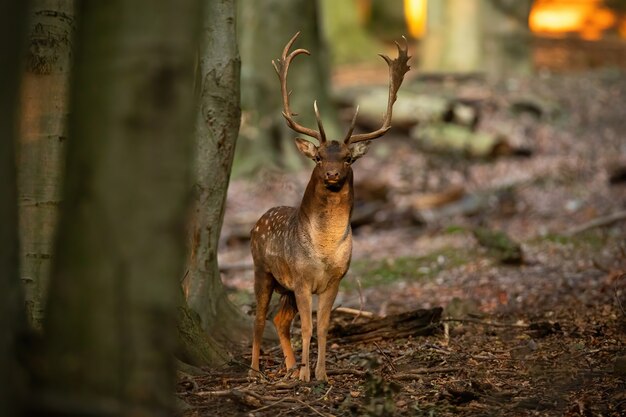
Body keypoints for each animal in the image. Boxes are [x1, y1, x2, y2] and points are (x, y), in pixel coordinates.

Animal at [249, 32, 410, 380]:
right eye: (319, 157)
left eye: (348, 158)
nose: (333, 174)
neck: (323, 249)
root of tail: (259, 220)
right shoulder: (300, 278)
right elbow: (307, 329)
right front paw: (307, 376)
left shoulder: (335, 279)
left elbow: (322, 328)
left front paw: (320, 374)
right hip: (262, 269)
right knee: (259, 317)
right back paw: (255, 370)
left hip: (284, 286)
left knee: (279, 319)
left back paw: (290, 366)